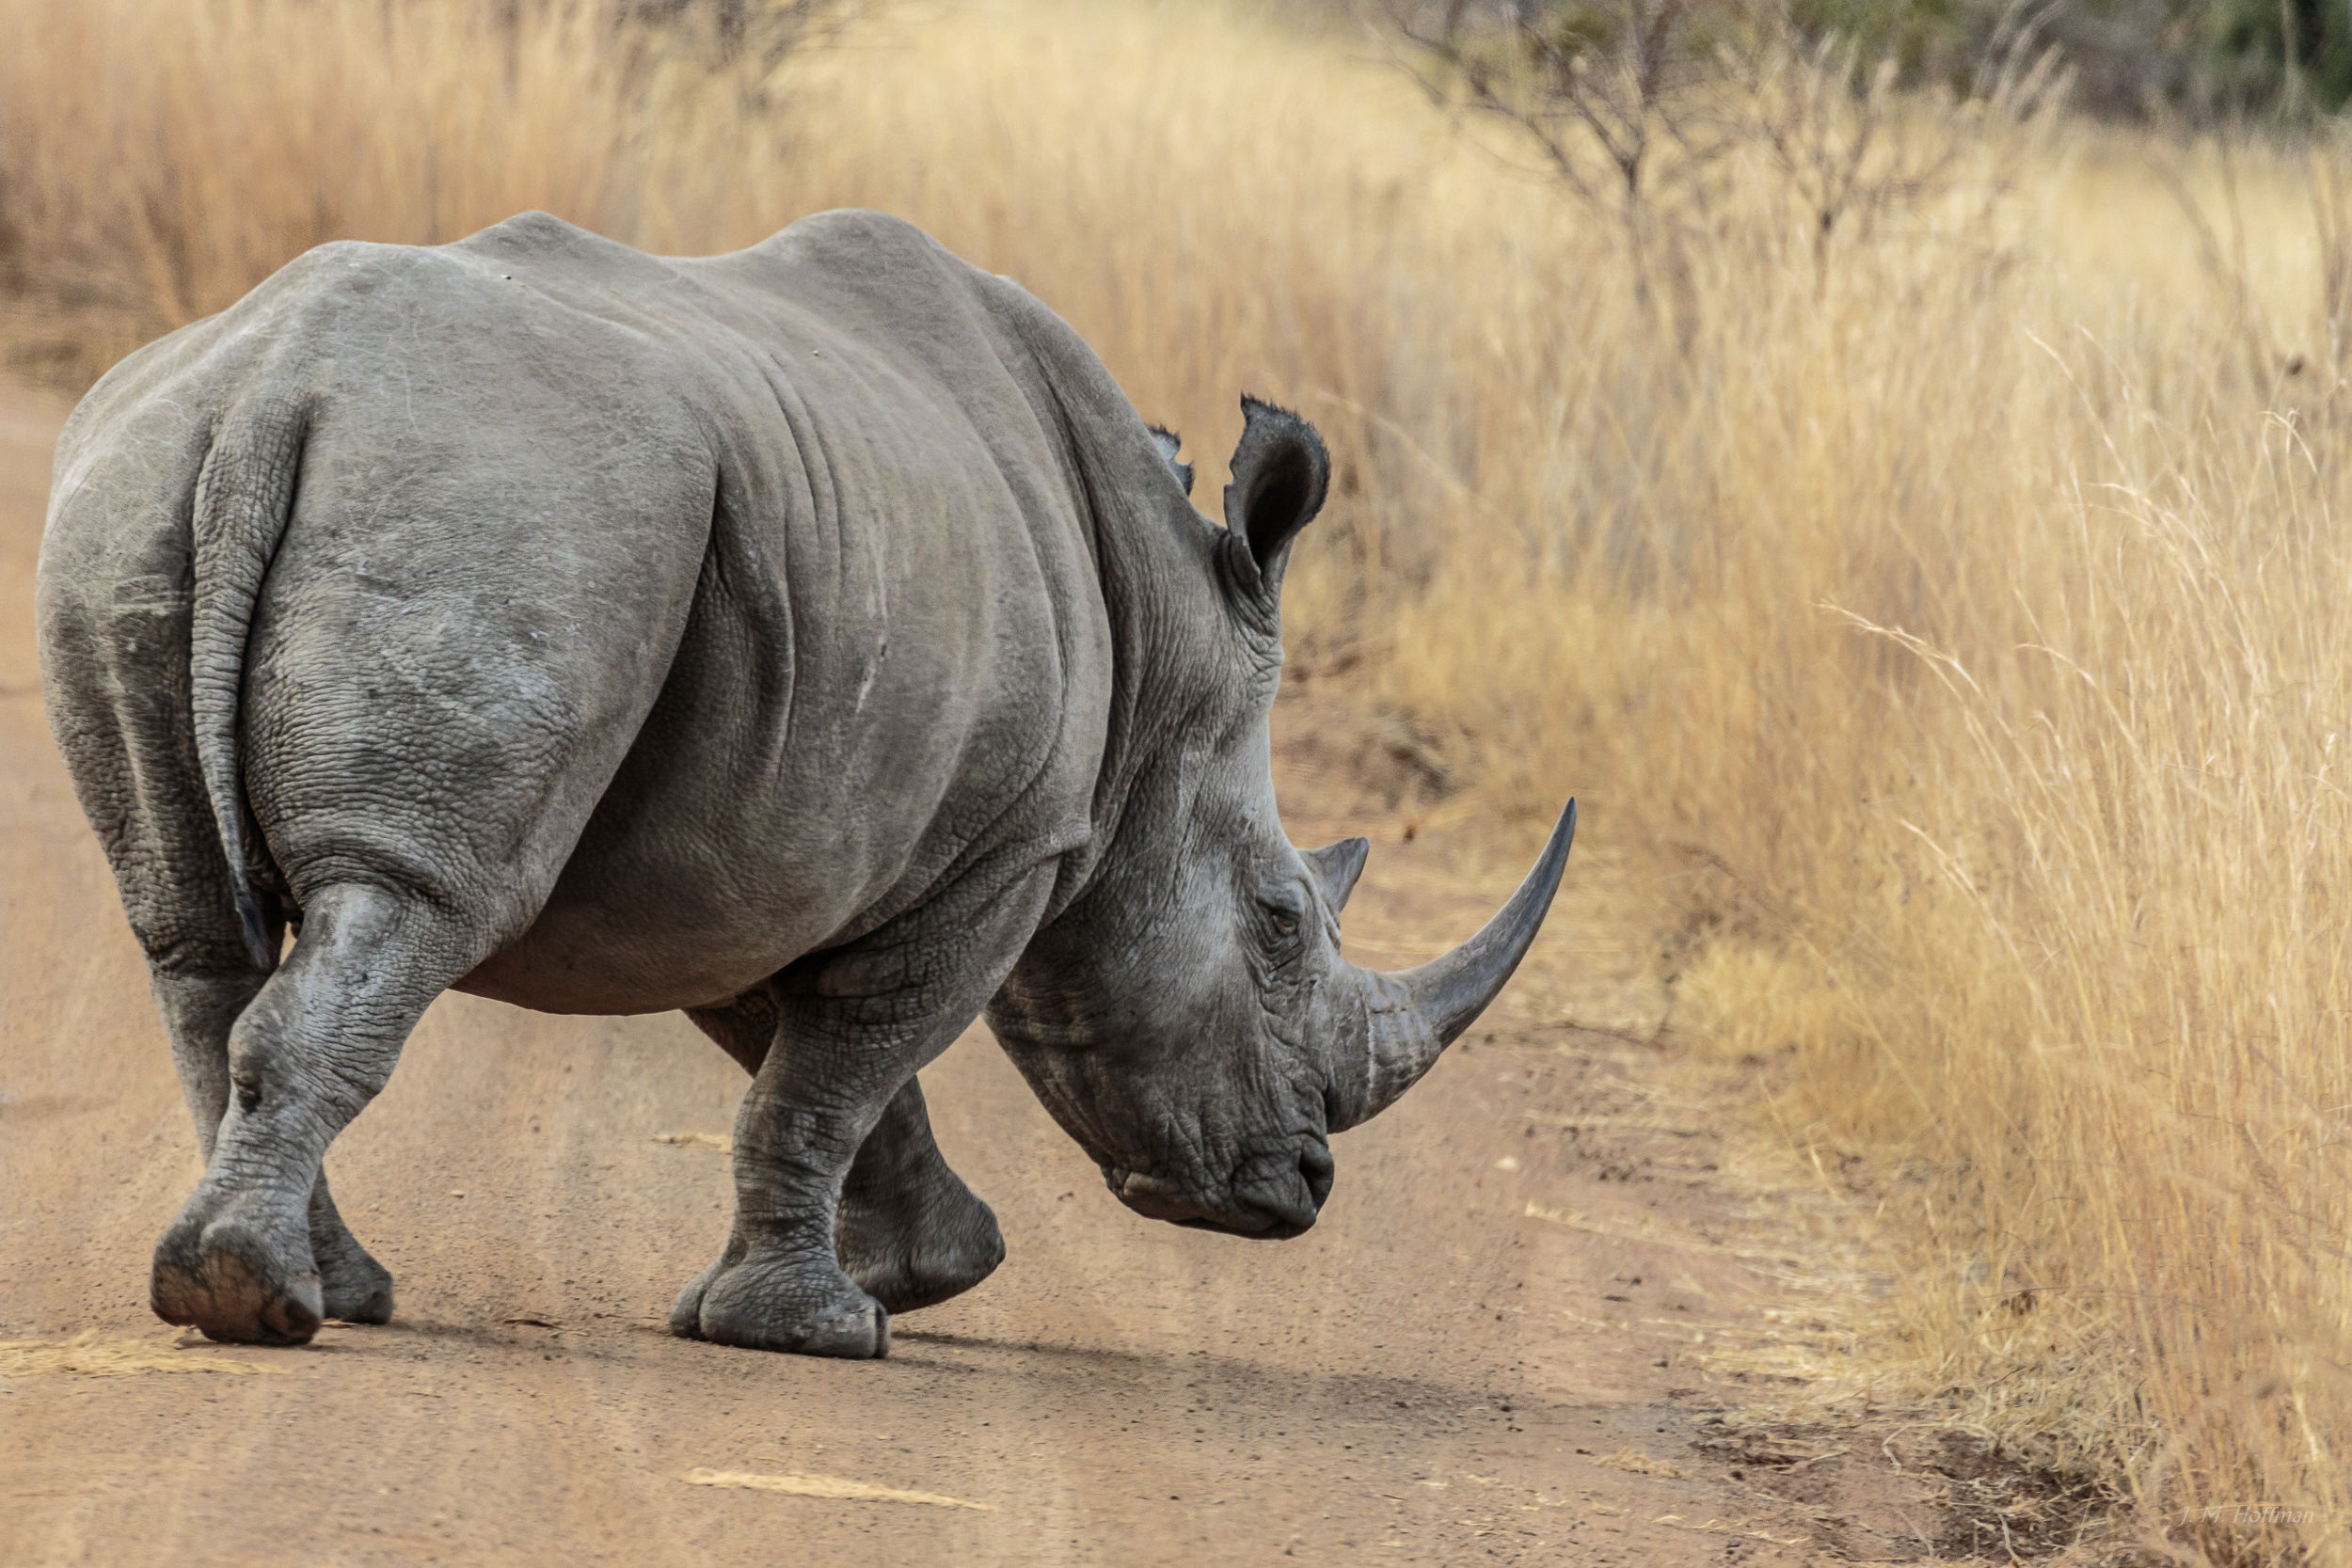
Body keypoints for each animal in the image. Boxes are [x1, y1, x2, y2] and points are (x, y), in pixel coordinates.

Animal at [36, 209, 1575, 1358]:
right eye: (1278, 922)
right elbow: (842, 1063)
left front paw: (928, 1268)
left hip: (139, 485)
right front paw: (826, 1326)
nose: (1304, 1184)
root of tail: (275, 386)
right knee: (412, 897)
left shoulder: (754, 835)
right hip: (505, 503)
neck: (1161, 660)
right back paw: (259, 1296)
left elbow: (812, 1056)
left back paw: (312, 1287)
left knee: (190, 933)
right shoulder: (1007, 847)